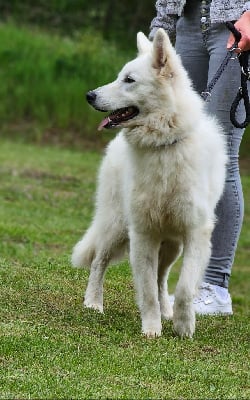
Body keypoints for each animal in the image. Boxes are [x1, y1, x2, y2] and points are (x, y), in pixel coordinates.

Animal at [72, 28, 227, 338]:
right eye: (120, 76)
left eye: (129, 80)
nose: (89, 95)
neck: (163, 145)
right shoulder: (143, 234)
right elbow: (145, 291)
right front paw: (152, 330)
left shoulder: (194, 234)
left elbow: (184, 288)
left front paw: (183, 326)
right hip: (117, 226)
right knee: (99, 262)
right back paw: (93, 303)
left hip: (171, 244)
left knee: (162, 277)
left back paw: (168, 311)